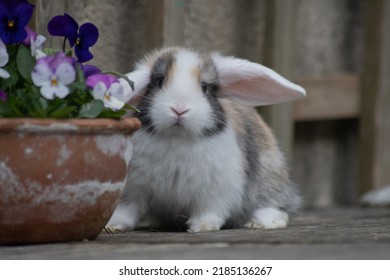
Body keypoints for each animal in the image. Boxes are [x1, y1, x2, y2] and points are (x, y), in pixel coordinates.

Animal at [106, 47, 304, 232]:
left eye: (204, 87)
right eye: (160, 81)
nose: (179, 108)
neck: (178, 137)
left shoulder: (215, 191)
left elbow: (209, 210)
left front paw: (201, 226)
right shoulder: (133, 188)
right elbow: (126, 210)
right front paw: (113, 226)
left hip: (270, 178)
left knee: (274, 206)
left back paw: (260, 223)